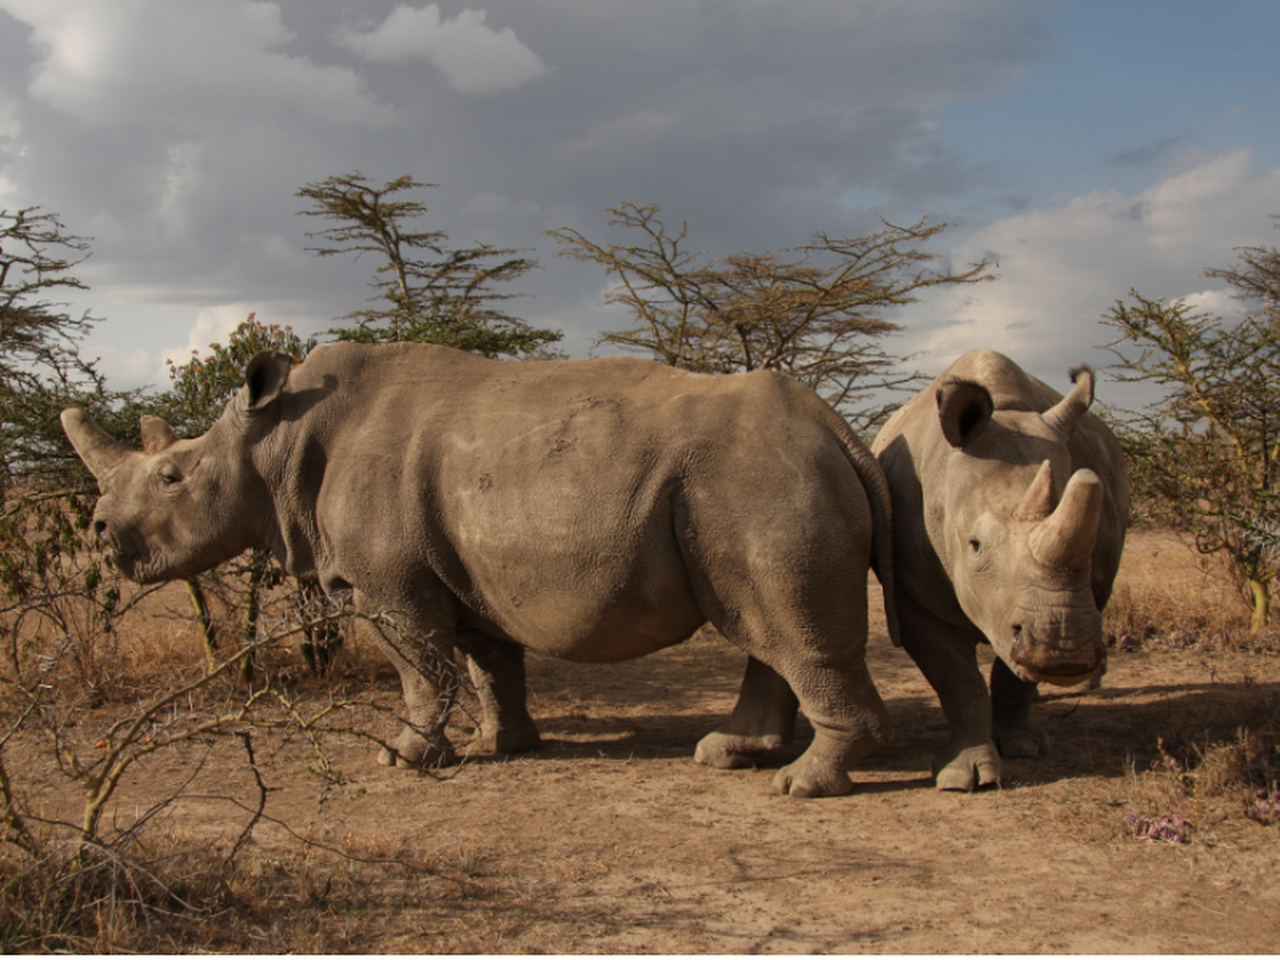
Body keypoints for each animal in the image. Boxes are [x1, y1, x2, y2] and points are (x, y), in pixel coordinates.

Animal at [63, 341, 899, 798]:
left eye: (171, 477)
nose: (100, 530)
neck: (274, 441)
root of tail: (840, 428)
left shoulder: (386, 584)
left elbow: (418, 666)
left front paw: (402, 758)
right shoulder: (463, 572)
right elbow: (488, 660)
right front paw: (502, 745)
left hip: (758, 480)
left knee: (786, 628)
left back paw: (800, 786)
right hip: (750, 479)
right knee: (762, 625)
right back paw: (729, 757)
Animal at [871, 349, 1129, 791]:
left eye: (1094, 540)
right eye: (975, 545)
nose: (1064, 649)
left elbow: (1013, 678)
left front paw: (1023, 746)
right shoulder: (912, 591)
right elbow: (959, 681)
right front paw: (967, 776)